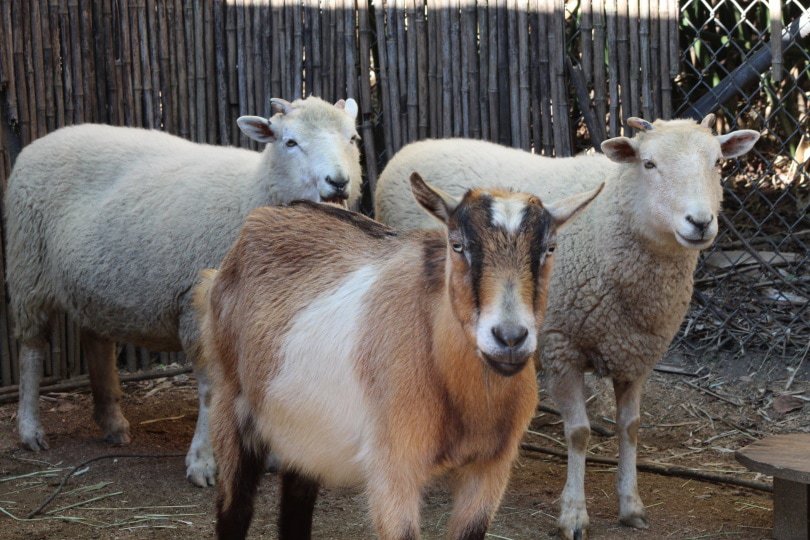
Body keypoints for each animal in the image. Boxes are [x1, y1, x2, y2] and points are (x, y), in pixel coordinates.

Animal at [4, 95, 362, 488]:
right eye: (290, 142)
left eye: (353, 138)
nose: (338, 182)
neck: (251, 191)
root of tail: (45, 139)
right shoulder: (198, 307)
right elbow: (210, 389)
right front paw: (203, 461)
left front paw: (272, 454)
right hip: (28, 268)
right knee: (31, 350)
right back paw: (31, 429)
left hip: (92, 281)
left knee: (96, 341)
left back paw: (112, 423)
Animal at [194, 173, 602, 539]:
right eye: (457, 245)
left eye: (549, 248)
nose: (510, 337)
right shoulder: (393, 468)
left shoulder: (490, 469)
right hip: (231, 403)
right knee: (234, 510)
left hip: (305, 427)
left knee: (296, 504)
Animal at [373, 115, 760, 539]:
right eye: (649, 164)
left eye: (718, 163)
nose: (700, 222)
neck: (611, 221)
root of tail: (414, 146)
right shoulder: (561, 347)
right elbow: (578, 432)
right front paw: (574, 513)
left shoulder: (635, 353)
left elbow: (631, 427)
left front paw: (631, 504)